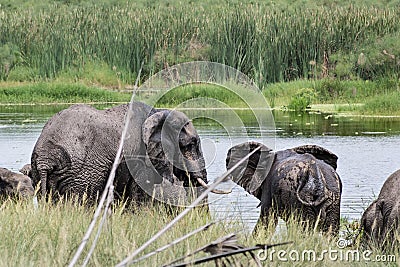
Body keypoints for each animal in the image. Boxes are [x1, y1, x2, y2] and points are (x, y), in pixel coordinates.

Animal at [31, 101, 219, 206]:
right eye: (190, 144)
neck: (159, 112)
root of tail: (46, 158)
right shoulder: (141, 157)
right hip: (83, 172)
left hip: (39, 174)